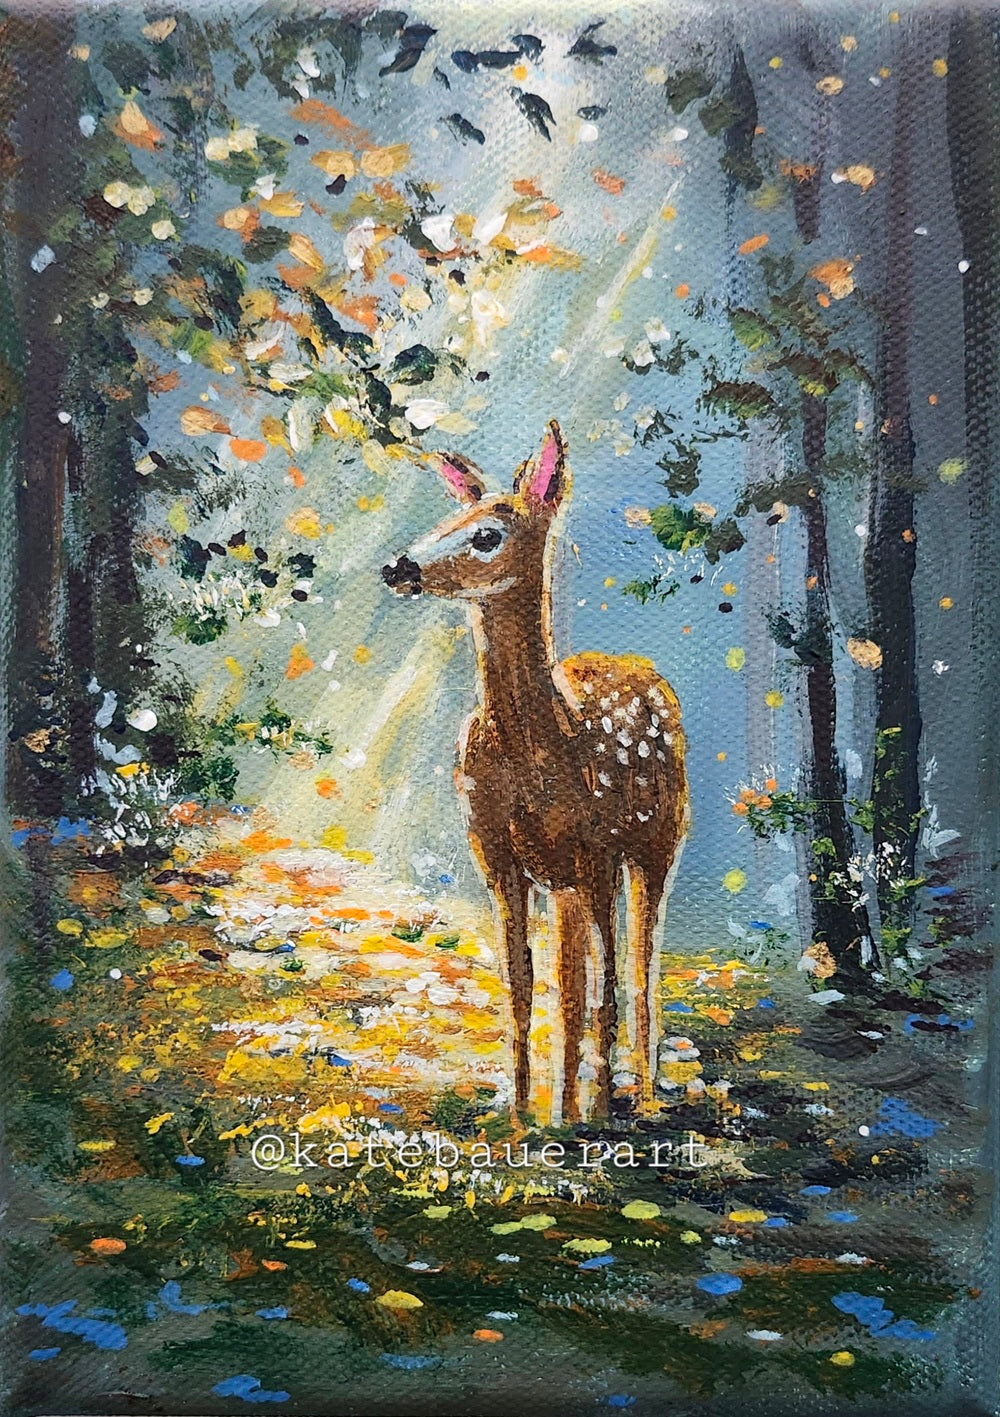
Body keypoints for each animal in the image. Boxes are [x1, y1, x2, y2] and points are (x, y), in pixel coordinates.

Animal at [382, 421, 688, 1123]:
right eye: (449, 518)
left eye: (487, 534)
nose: (398, 567)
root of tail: (644, 668)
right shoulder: (498, 858)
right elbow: (522, 979)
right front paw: (521, 1110)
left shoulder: (576, 859)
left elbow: (573, 989)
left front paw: (567, 1119)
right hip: (591, 867)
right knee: (604, 967)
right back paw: (597, 1097)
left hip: (654, 842)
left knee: (639, 962)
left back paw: (640, 1097)